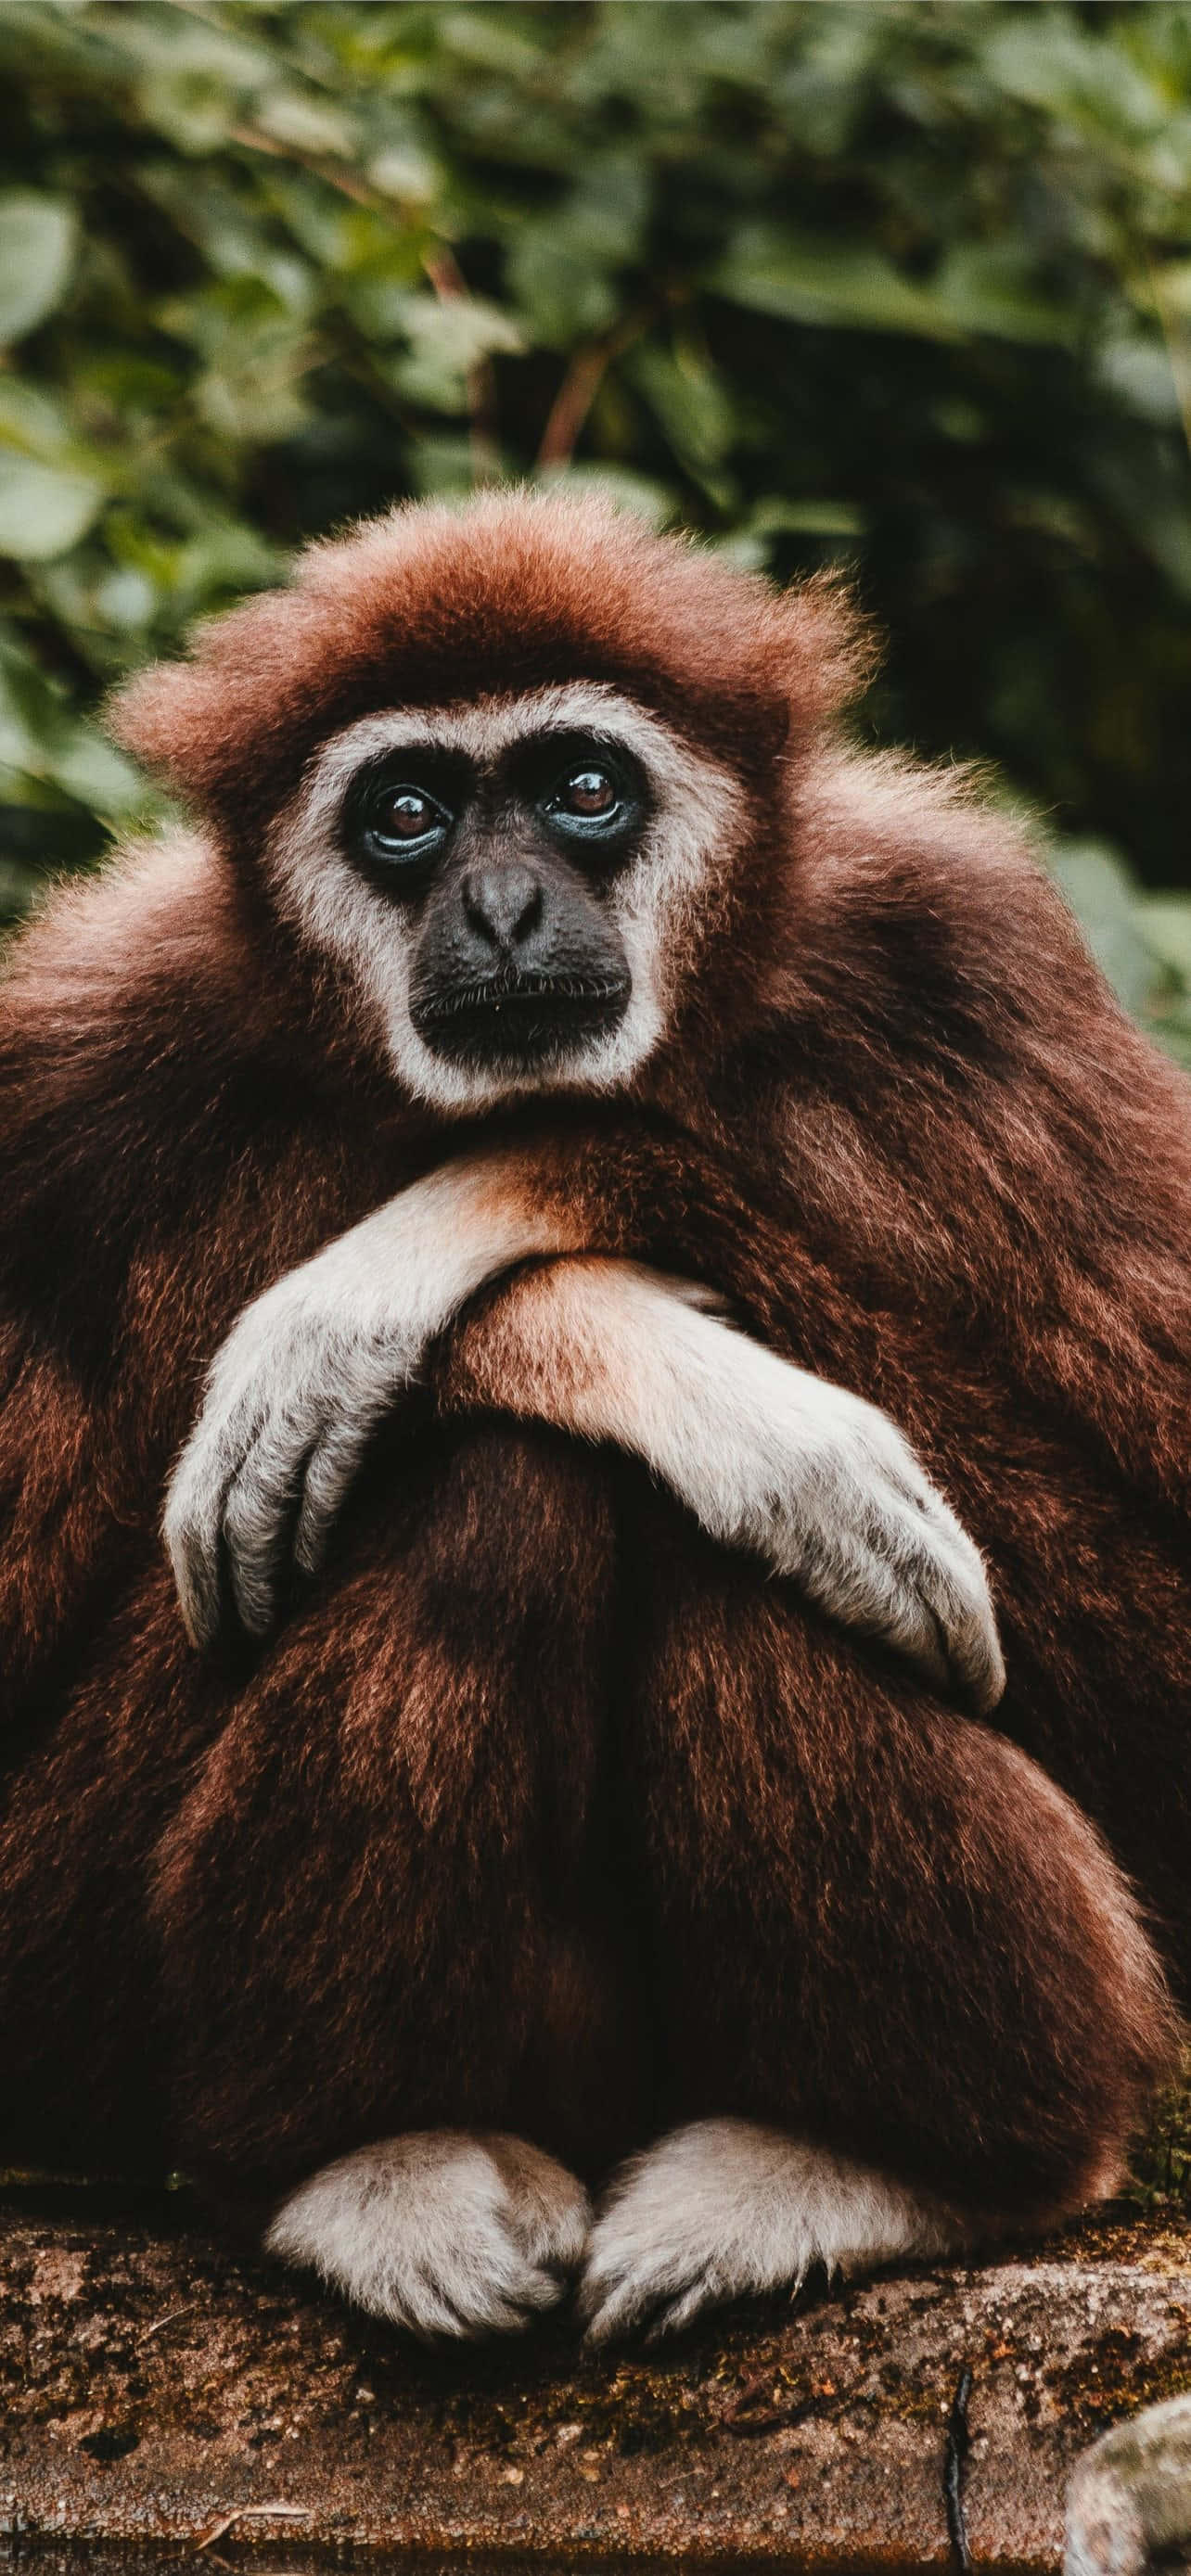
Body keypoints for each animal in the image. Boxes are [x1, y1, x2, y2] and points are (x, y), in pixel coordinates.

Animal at [0, 490, 1185, 2346]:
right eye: (406, 813)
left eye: (580, 787)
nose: (495, 906)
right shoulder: (69, 1063)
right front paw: (592, 1330)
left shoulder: (972, 959)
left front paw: (480, 1215)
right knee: (503, 1485)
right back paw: (367, 2156)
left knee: (763, 1543)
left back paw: (901, 2162)